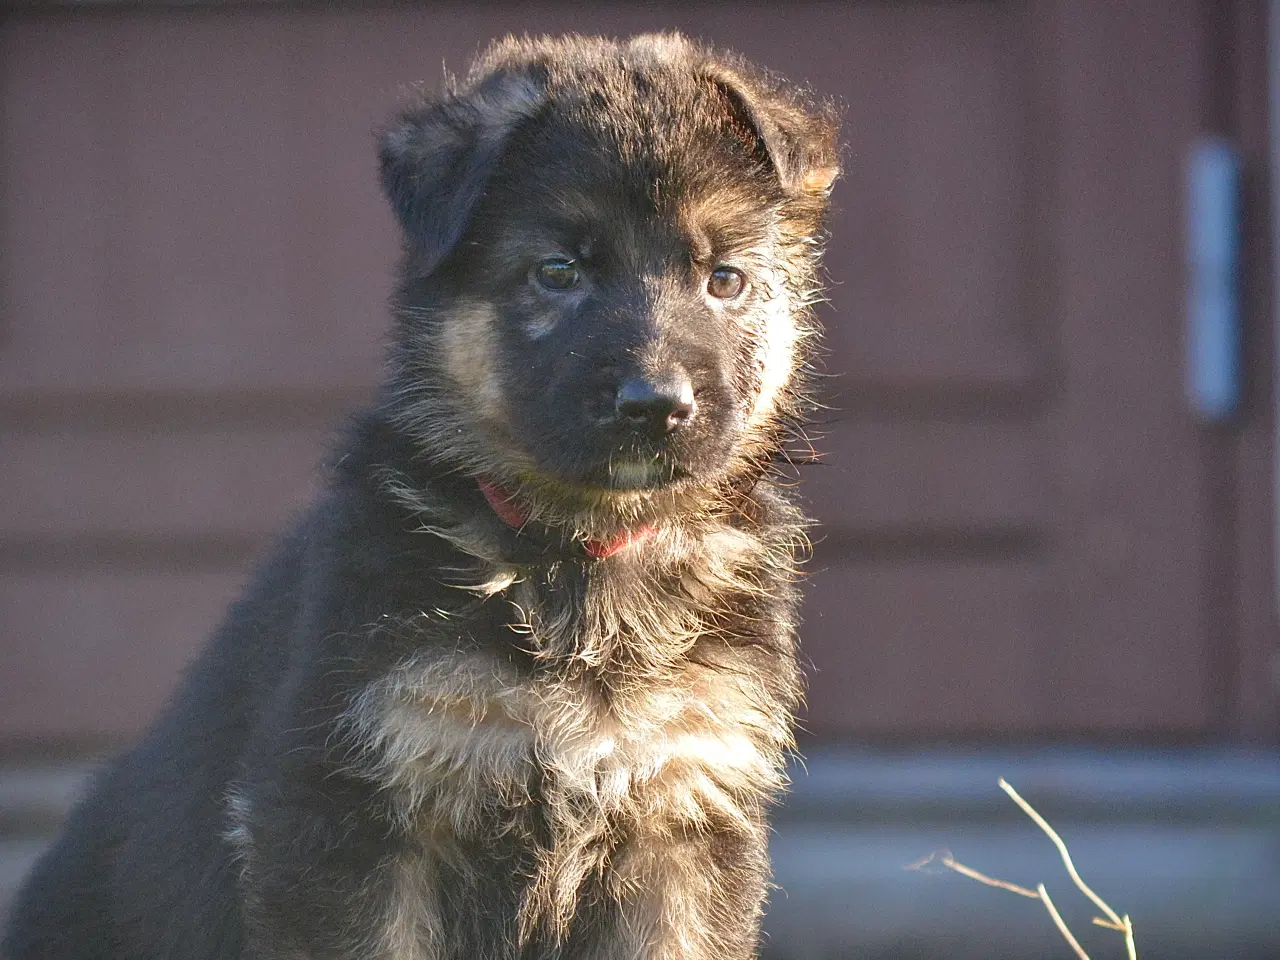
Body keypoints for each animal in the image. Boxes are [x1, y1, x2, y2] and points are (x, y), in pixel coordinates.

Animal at [5, 33, 839, 960]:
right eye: (558, 272)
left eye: (724, 280)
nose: (656, 405)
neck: (571, 556)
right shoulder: (360, 820)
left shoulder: (682, 820)